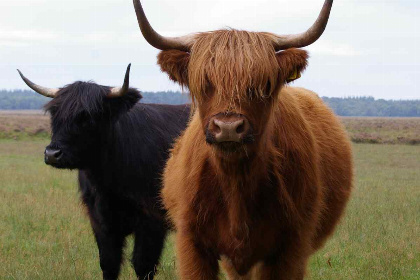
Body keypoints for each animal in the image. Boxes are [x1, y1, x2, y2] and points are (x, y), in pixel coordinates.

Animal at [17, 64, 189, 278]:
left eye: (87, 117)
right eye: (54, 114)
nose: (52, 154)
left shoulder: (151, 221)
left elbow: (143, 265)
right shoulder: (101, 223)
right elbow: (109, 264)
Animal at [134, 1, 352, 278]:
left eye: (263, 84)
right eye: (204, 83)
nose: (228, 128)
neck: (235, 184)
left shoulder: (291, 247)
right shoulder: (191, 243)